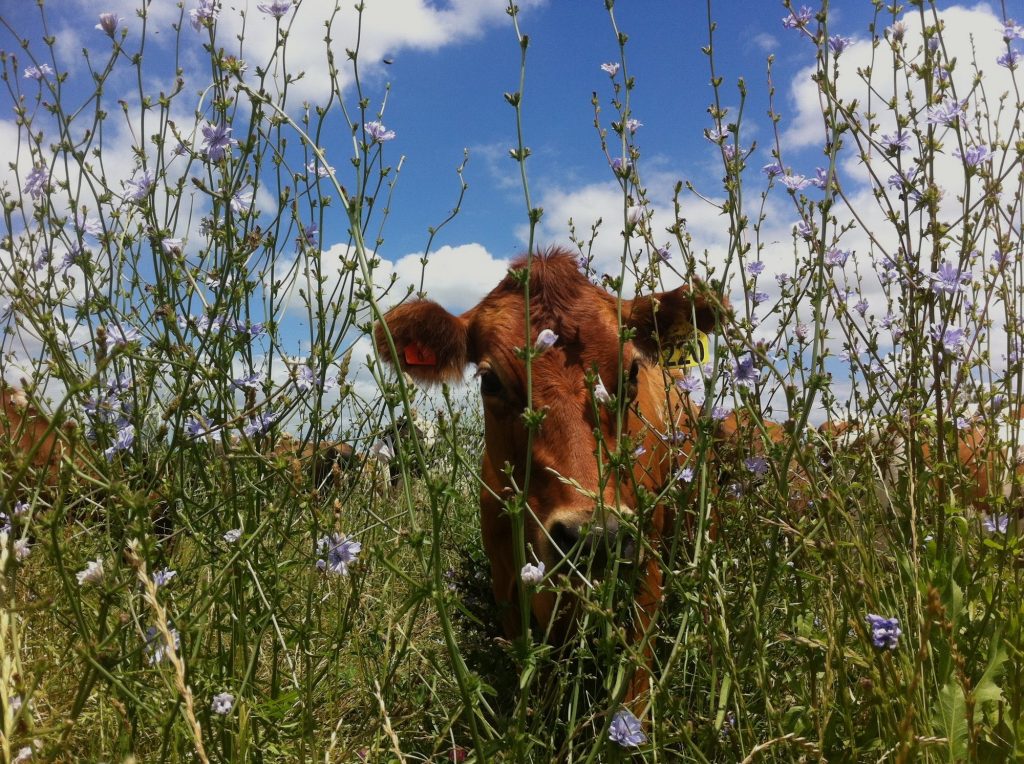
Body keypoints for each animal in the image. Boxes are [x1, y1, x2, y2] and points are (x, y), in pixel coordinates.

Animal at [374, 247, 727, 706]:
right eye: (490, 381)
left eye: (632, 373)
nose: (596, 537)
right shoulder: (507, 582)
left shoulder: (644, 567)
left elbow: (634, 681)